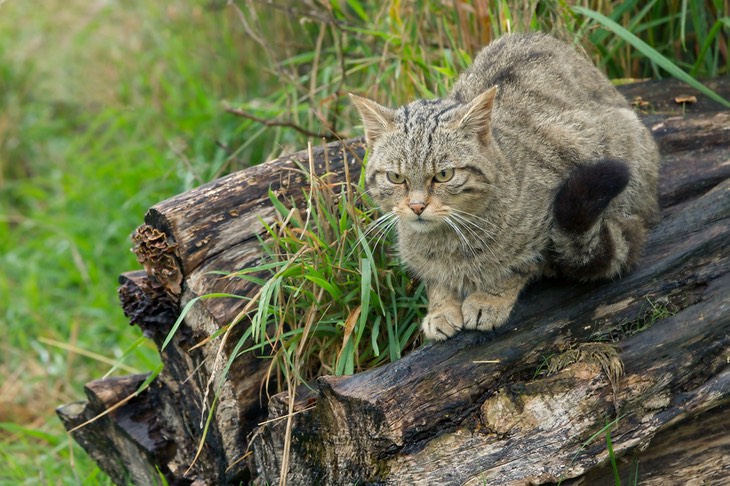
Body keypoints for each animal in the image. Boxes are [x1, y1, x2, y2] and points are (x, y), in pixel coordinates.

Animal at [350, 32, 656, 340]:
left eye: (444, 175)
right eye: (396, 178)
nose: (416, 206)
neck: (448, 241)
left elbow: (519, 265)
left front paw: (489, 299)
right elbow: (436, 282)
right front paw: (441, 308)